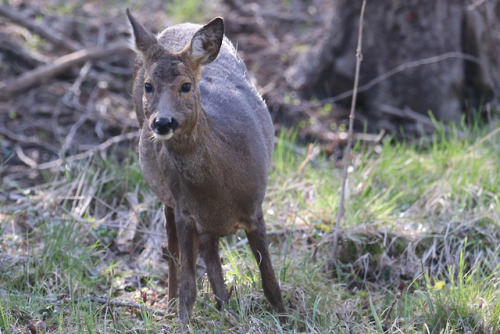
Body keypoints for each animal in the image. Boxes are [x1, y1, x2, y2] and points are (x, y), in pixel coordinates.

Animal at [126, 9, 286, 324]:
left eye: (186, 86)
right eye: (149, 86)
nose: (163, 122)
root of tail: (179, 25)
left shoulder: (255, 208)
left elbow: (270, 281)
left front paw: (287, 317)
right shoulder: (185, 209)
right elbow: (189, 286)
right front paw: (182, 322)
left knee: (209, 248)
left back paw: (223, 304)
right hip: (169, 197)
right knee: (172, 249)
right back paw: (173, 303)